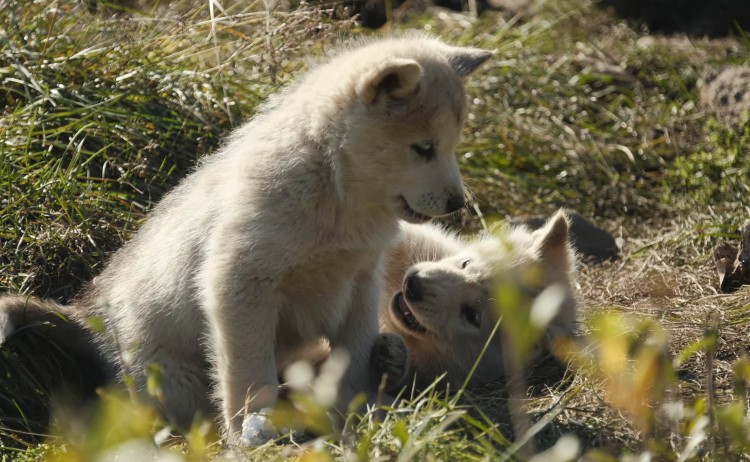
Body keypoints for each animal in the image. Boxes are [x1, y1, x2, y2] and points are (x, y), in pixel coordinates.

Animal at [0, 36, 491, 442]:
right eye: (423, 148)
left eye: (452, 145)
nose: (457, 204)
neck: (337, 193)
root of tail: (86, 314)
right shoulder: (240, 283)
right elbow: (249, 375)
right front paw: (252, 432)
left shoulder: (361, 282)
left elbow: (350, 357)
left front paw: (355, 411)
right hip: (172, 379)